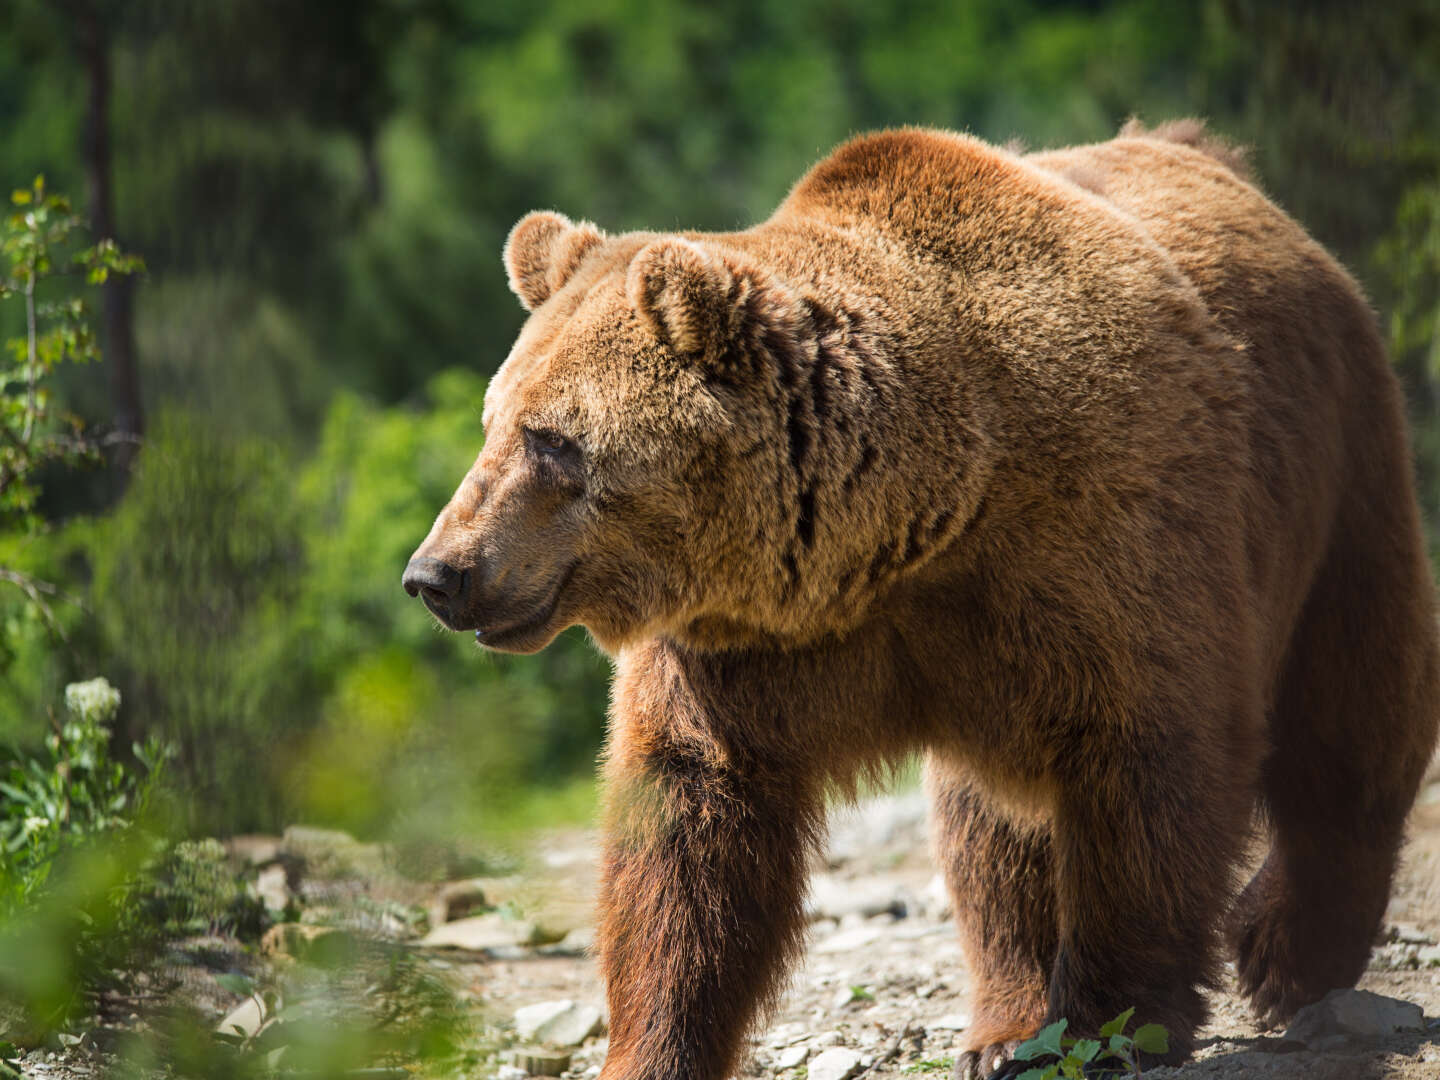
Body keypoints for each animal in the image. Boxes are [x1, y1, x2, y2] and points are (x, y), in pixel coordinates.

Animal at [400, 122, 1434, 1080]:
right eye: (496, 423)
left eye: (553, 441)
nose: (437, 574)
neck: (914, 524)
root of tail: (1212, 157)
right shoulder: (752, 646)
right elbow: (692, 828)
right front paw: (654, 1045)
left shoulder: (1105, 546)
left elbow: (1149, 764)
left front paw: (1111, 1021)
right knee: (994, 836)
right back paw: (1009, 1020)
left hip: (1336, 469)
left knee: (1347, 707)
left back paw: (1287, 953)